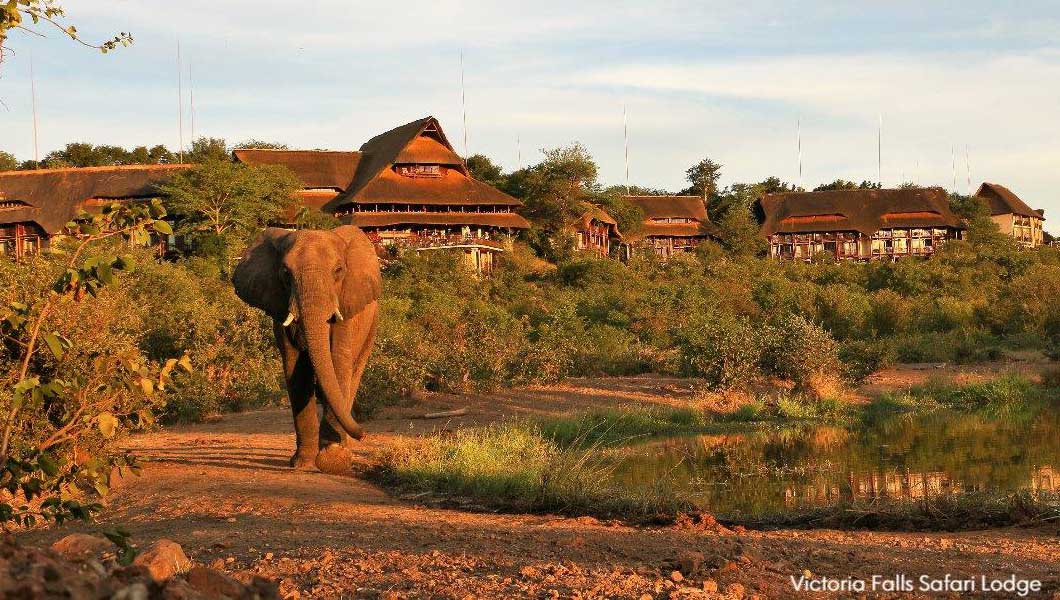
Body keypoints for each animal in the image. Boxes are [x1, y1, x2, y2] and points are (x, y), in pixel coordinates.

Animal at [234, 226, 383, 474]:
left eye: (338, 270)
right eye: (285, 273)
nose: (363, 434)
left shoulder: (346, 305)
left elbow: (338, 361)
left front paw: (333, 461)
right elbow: (296, 369)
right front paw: (303, 464)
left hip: (371, 326)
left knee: (353, 371)